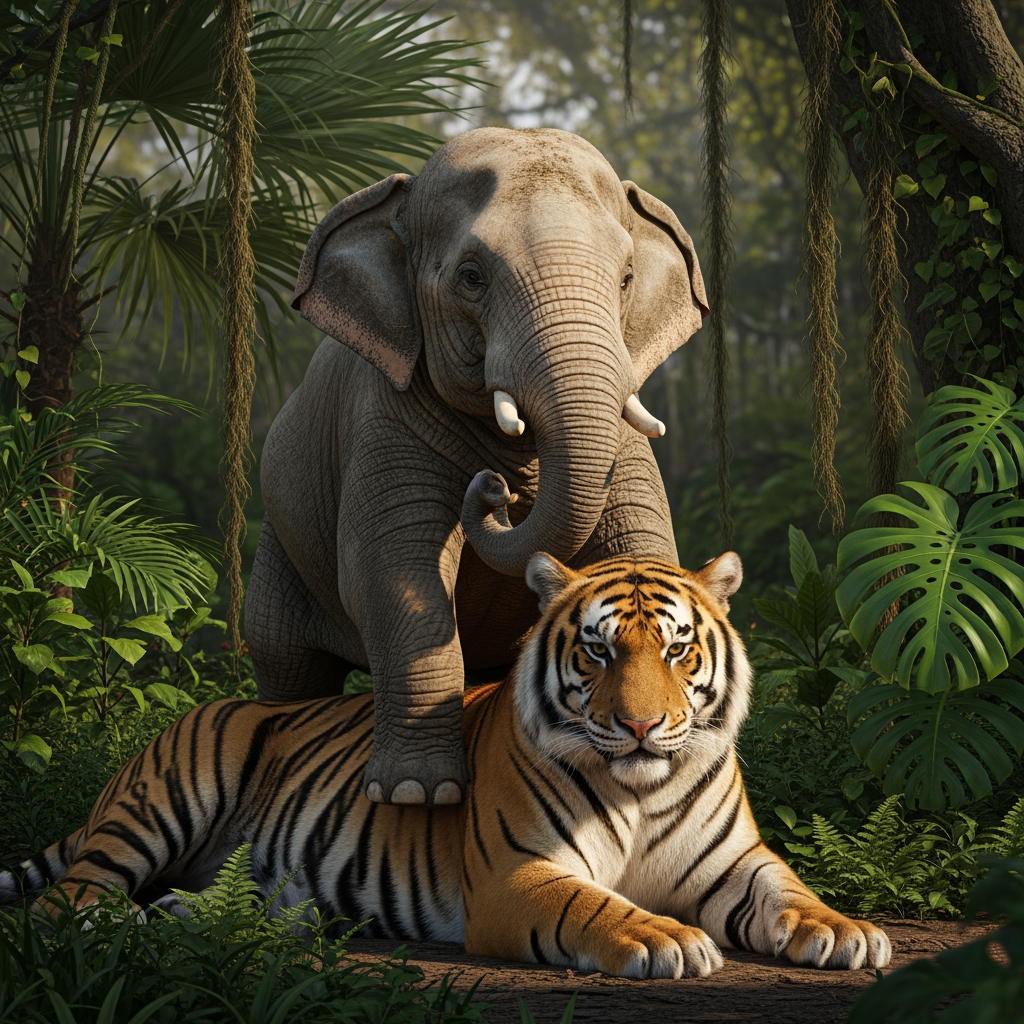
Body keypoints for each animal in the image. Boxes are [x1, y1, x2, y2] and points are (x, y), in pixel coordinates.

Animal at [0, 551, 891, 978]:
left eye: (676, 650)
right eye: (599, 650)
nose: (640, 725)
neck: (643, 788)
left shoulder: (736, 863)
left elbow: (789, 892)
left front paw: (844, 931)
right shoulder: (515, 874)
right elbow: (595, 907)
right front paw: (663, 937)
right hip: (172, 795)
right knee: (65, 901)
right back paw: (115, 921)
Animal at [246, 126, 708, 807]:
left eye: (626, 279)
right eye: (471, 277)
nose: (494, 491)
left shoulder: (628, 446)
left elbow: (644, 553)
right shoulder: (384, 418)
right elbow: (392, 572)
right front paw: (418, 795)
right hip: (280, 540)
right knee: (287, 664)